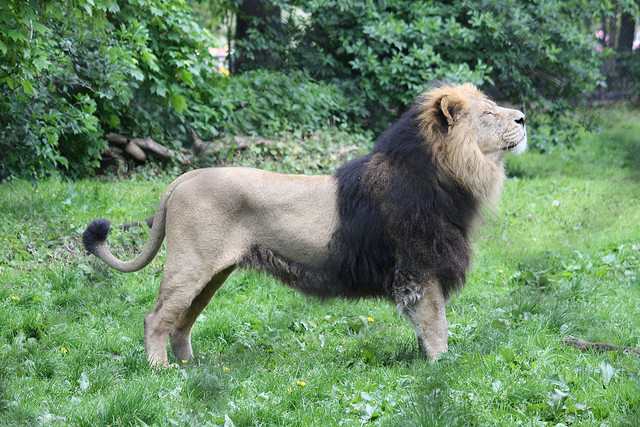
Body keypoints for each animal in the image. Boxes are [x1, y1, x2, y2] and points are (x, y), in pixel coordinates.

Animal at [84, 83, 524, 368]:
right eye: (489, 113)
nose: (522, 118)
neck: (449, 174)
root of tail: (182, 178)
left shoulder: (418, 273)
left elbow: (423, 328)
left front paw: (423, 361)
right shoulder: (419, 267)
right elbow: (437, 327)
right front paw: (441, 369)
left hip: (212, 274)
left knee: (181, 322)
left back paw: (193, 367)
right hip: (189, 264)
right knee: (156, 318)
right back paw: (161, 371)